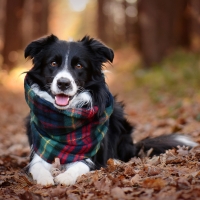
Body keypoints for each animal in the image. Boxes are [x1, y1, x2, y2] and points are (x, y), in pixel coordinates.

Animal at [24, 34, 197, 186]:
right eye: (53, 63)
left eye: (79, 66)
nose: (63, 83)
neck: (65, 119)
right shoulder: (39, 151)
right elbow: (36, 166)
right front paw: (45, 179)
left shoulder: (93, 156)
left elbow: (81, 165)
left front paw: (65, 177)